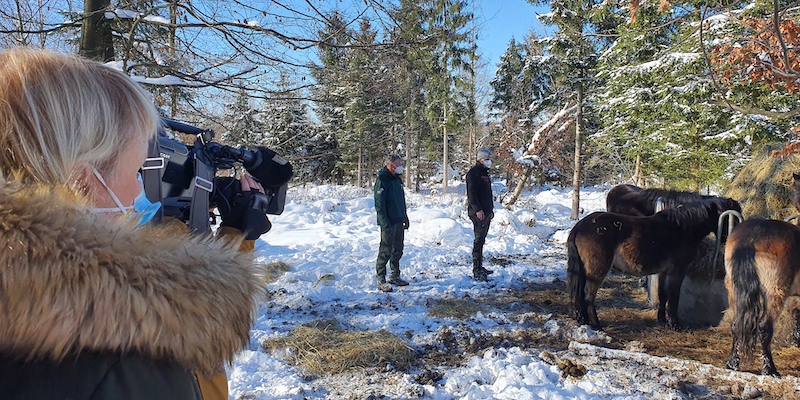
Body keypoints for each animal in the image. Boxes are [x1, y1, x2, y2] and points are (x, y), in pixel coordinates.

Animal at [564, 198, 740, 330]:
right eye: (729, 219)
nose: (730, 240)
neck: (682, 228)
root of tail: (580, 226)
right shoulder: (677, 271)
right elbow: (674, 295)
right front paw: (674, 324)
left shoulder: (663, 271)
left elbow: (663, 294)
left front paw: (661, 319)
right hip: (596, 270)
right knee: (588, 295)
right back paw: (596, 324)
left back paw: (584, 321)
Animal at [724, 173, 800, 376]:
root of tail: (751, 238)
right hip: (775, 292)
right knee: (765, 327)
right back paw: (770, 369)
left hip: (733, 289)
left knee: (736, 324)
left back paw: (732, 363)